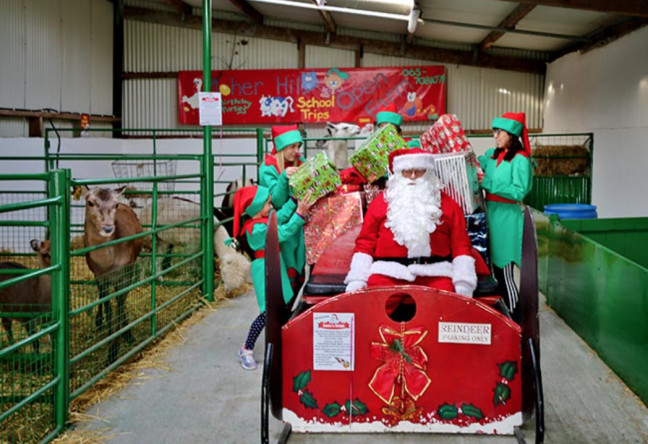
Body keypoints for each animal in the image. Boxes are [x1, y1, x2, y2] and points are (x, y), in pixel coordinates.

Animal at [81, 186, 143, 362]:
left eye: (115, 204)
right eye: (90, 202)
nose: (108, 227)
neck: (108, 263)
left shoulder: (126, 270)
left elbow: (120, 304)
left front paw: (125, 337)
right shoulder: (99, 275)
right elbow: (109, 309)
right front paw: (112, 350)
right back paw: (98, 322)